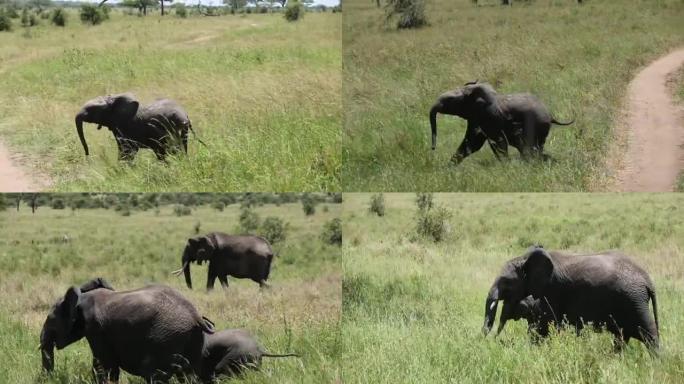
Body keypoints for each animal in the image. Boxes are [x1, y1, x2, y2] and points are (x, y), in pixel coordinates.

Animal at [38, 278, 214, 382]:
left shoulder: (96, 328)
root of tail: (196, 316)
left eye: (50, 319)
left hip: (166, 336)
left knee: (152, 372)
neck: (82, 296)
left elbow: (102, 365)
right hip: (191, 338)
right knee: (190, 375)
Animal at [430, 80, 576, 164]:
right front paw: (449, 167)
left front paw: (505, 165)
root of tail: (551, 115)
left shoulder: (489, 116)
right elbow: (472, 143)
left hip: (538, 125)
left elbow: (497, 143)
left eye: (449, 101)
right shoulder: (476, 117)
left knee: (530, 147)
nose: (432, 148)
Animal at [484, 246, 660, 352]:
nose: (489, 338)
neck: (525, 259)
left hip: (634, 300)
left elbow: (542, 329)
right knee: (622, 337)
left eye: (506, 281)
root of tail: (647, 280)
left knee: (649, 334)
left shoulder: (550, 293)